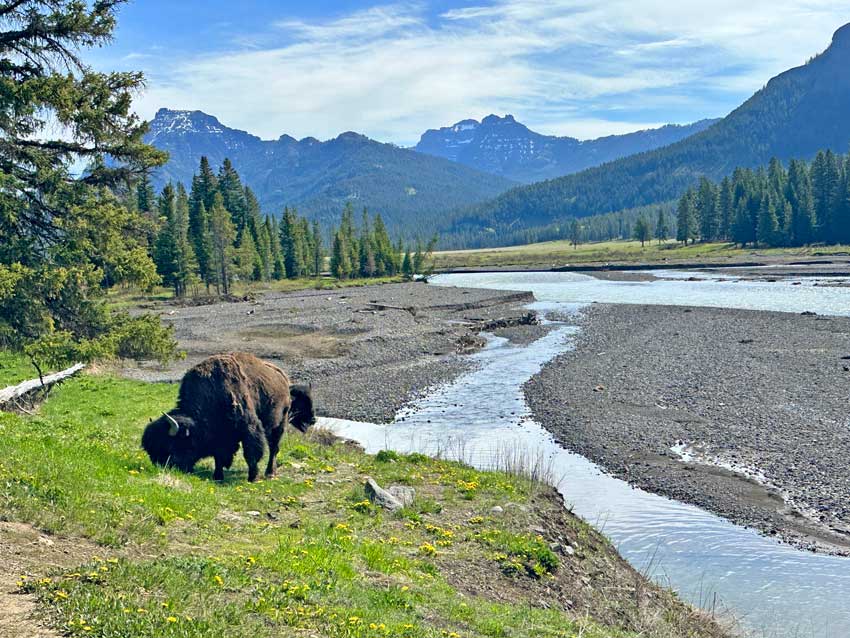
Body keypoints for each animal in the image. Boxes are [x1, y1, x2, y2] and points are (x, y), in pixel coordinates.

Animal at [142, 352, 314, 482]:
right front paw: (218, 476)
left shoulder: (249, 428)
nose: (161, 467)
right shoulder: (221, 438)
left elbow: (251, 453)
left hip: (279, 425)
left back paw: (270, 473)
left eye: (171, 446)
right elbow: (219, 457)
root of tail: (284, 380)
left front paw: (253, 477)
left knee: (273, 448)